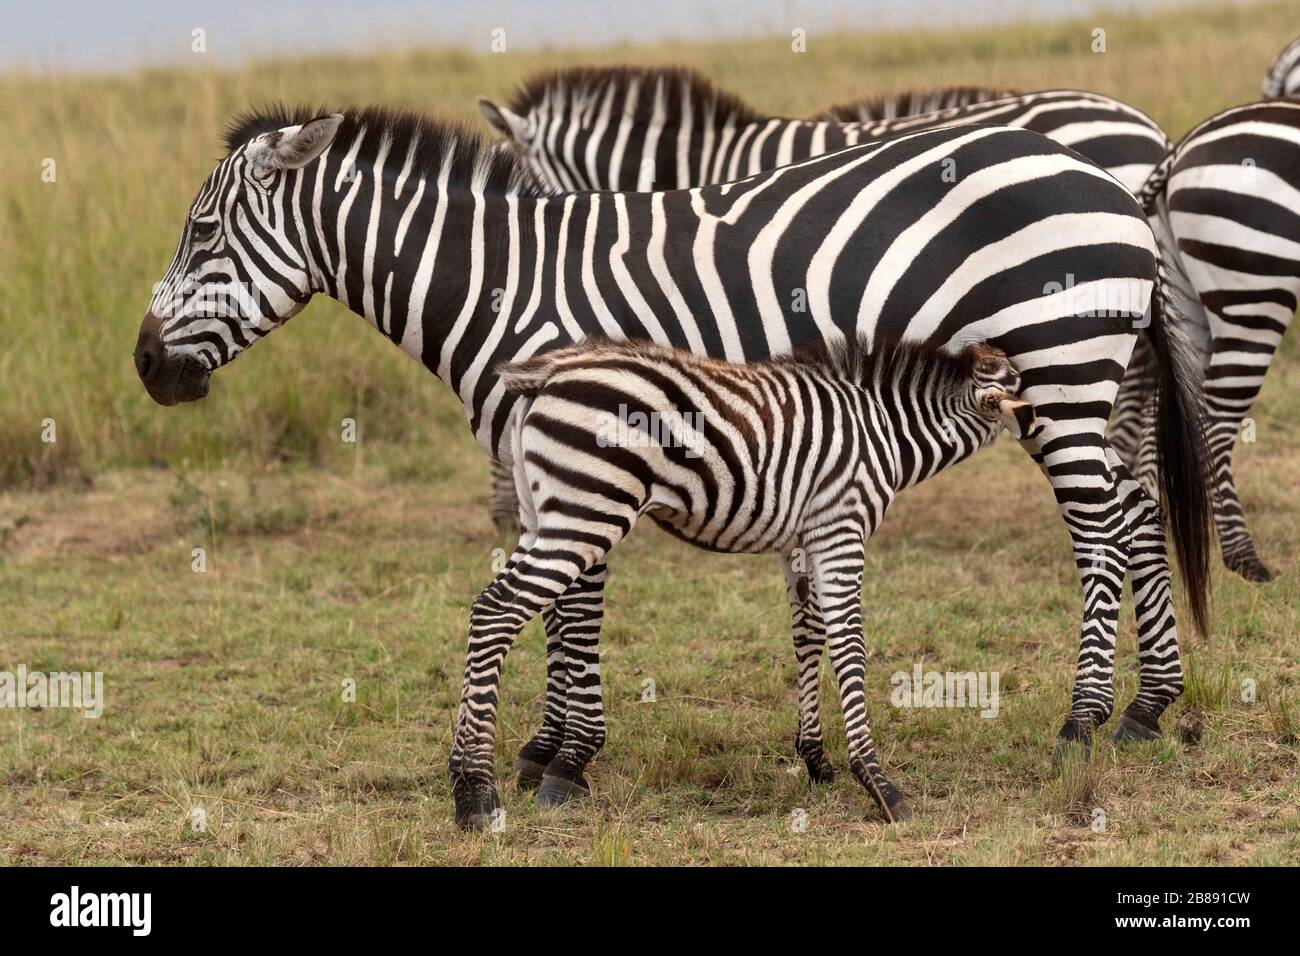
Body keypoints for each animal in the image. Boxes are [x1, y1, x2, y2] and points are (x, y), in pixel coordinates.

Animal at [448, 337, 1042, 827]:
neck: (884, 432)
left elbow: (808, 636)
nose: (1052, 424)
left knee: (503, 610)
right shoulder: (841, 525)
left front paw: (816, 760)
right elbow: (849, 642)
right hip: (587, 509)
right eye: (1024, 392)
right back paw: (477, 797)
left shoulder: (800, 540)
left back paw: (470, 778)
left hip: (543, 512)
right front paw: (878, 784)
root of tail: (548, 375)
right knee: (498, 611)